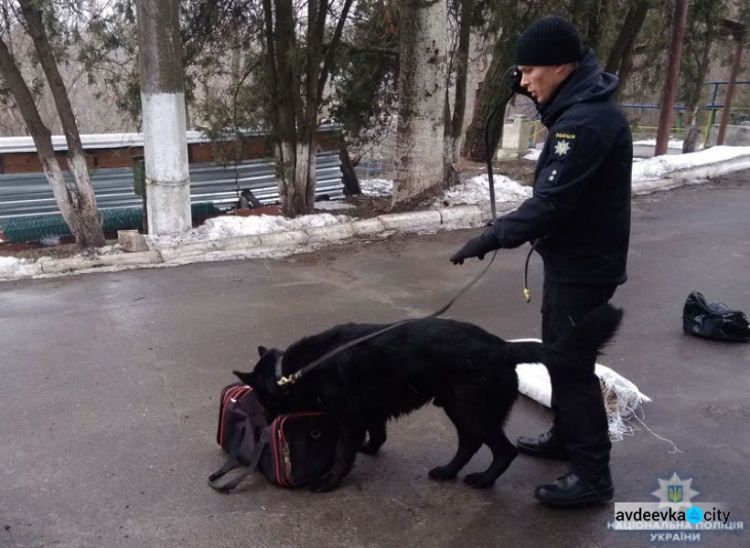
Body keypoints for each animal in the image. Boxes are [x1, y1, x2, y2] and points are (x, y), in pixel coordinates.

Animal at [235, 304, 624, 492]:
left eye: (263, 401)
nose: (265, 423)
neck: (294, 370)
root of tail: (501, 349)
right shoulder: (370, 412)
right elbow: (378, 433)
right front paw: (371, 449)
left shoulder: (350, 419)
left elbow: (344, 454)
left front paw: (330, 482)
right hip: (457, 407)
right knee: (469, 444)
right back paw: (449, 471)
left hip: (471, 411)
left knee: (503, 450)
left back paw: (484, 481)